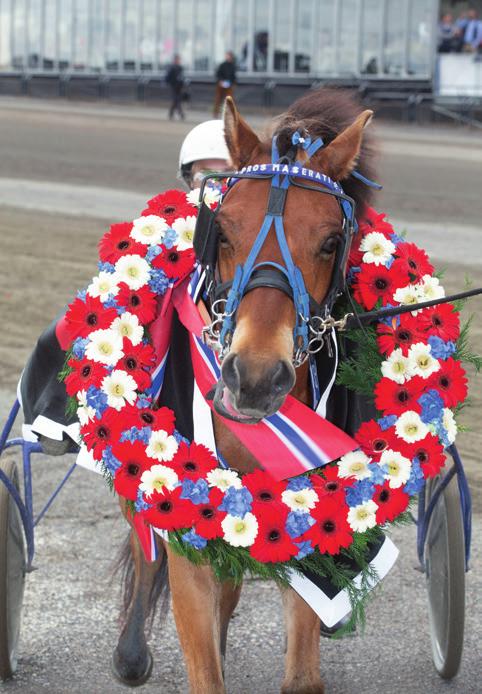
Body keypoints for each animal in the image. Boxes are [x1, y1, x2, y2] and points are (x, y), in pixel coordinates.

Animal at [112, 89, 376, 694]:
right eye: (224, 230)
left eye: (332, 241)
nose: (254, 377)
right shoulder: (186, 533)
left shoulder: (310, 520)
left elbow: (301, 670)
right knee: (143, 545)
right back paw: (132, 651)